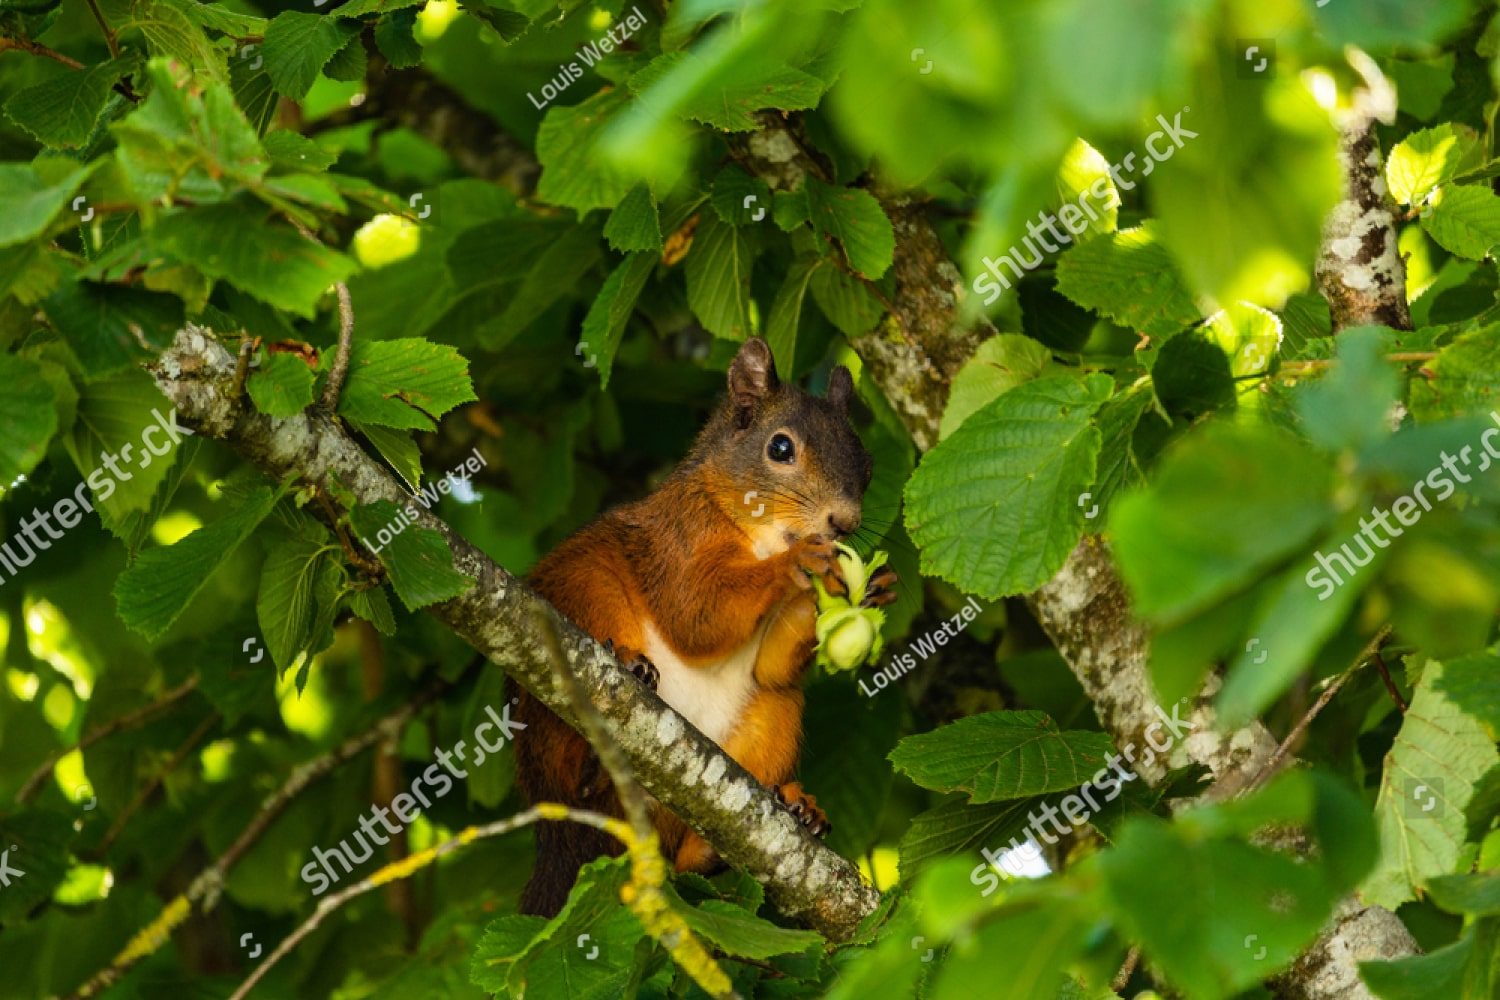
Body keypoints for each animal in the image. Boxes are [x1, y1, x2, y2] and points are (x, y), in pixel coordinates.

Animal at [513, 337, 896, 917]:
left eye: (869, 467)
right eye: (780, 448)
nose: (844, 522)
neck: (760, 534)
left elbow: (773, 662)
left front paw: (870, 585)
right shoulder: (677, 537)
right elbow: (692, 615)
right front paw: (800, 562)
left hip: (768, 723)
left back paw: (785, 813)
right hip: (575, 617)